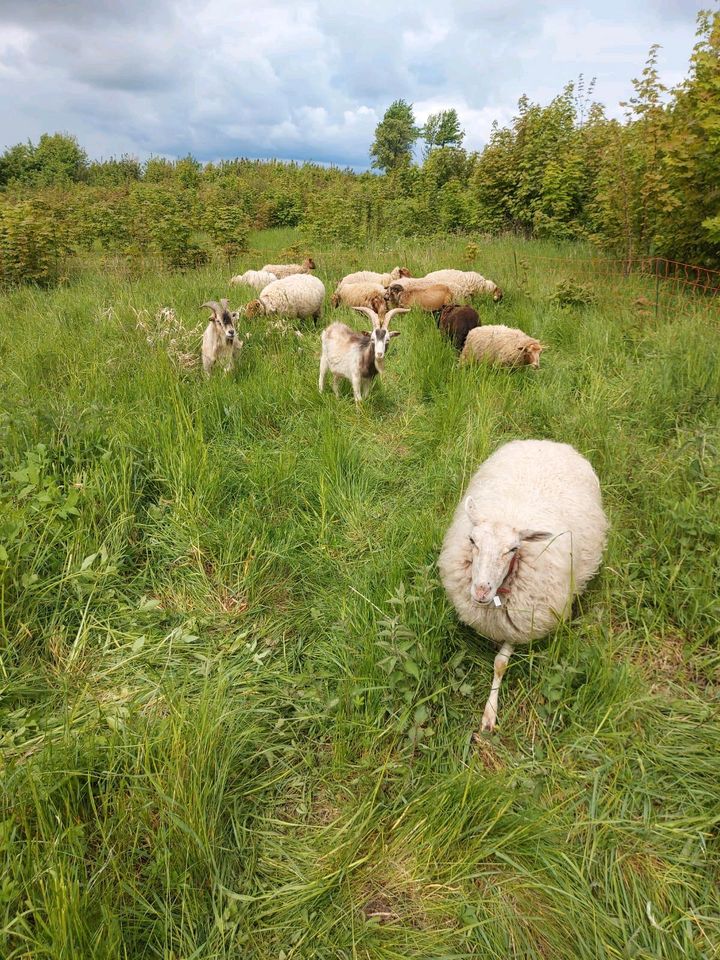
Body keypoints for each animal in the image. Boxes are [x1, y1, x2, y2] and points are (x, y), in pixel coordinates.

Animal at [438, 442, 608, 736]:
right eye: (472, 540)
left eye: (513, 549)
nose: (481, 591)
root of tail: (549, 442)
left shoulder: (523, 623)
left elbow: (500, 664)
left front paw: (489, 714)